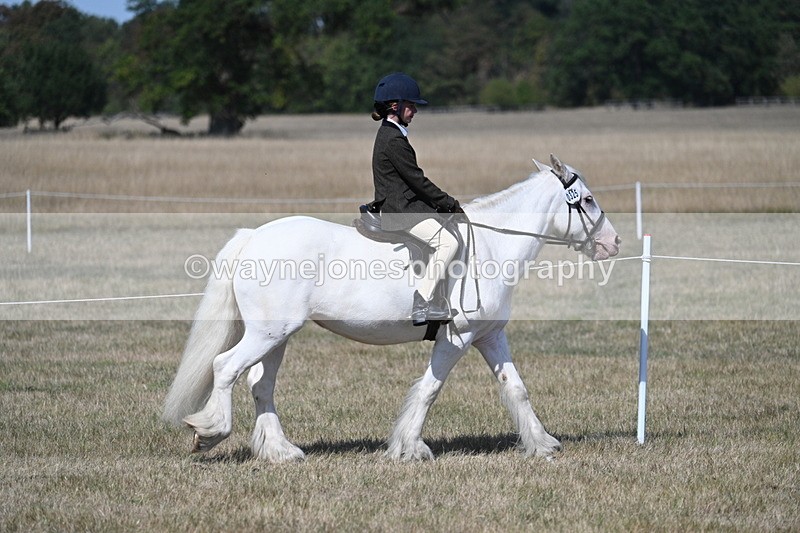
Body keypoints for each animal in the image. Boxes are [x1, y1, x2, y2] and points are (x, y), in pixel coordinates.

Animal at [163, 154, 621, 462]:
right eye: (587, 200)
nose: (613, 243)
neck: (492, 243)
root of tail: (254, 235)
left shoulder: (489, 336)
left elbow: (516, 389)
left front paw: (542, 444)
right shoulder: (458, 337)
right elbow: (430, 389)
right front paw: (410, 447)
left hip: (276, 336)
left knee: (261, 385)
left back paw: (282, 451)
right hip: (268, 333)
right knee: (225, 368)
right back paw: (210, 432)